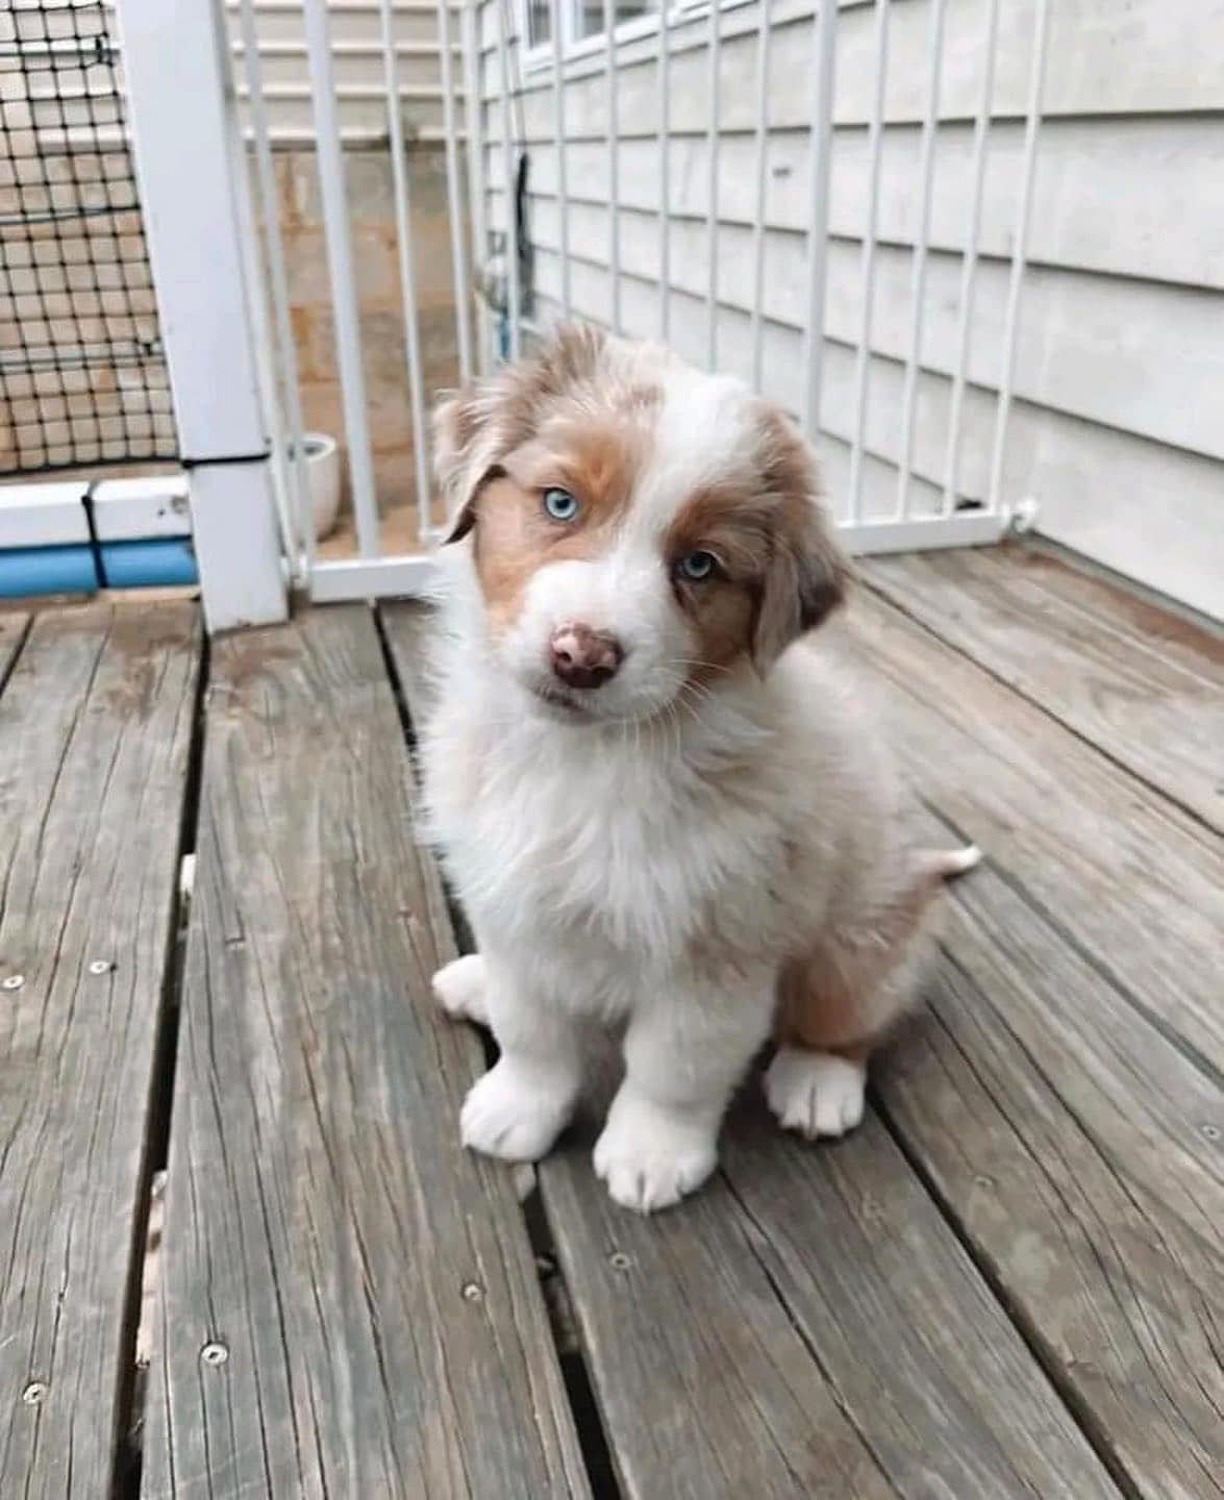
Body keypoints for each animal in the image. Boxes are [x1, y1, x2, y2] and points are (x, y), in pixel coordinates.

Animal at [419, 324, 978, 1213]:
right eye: (560, 503)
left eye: (699, 566)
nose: (581, 656)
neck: (585, 760)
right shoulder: (512, 900)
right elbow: (533, 1027)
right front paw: (516, 1110)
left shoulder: (716, 947)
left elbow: (671, 1066)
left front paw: (650, 1155)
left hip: (864, 929)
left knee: (847, 1018)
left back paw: (818, 1082)